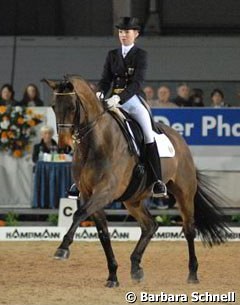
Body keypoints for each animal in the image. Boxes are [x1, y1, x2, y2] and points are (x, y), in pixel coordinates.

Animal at [44, 76, 230, 288]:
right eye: (53, 106)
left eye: (72, 107)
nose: (63, 147)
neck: (96, 142)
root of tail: (179, 140)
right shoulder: (88, 194)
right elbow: (103, 233)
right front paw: (113, 276)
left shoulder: (106, 191)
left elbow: (79, 214)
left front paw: (62, 248)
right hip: (133, 200)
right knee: (150, 226)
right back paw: (136, 268)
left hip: (184, 192)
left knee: (189, 229)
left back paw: (192, 274)